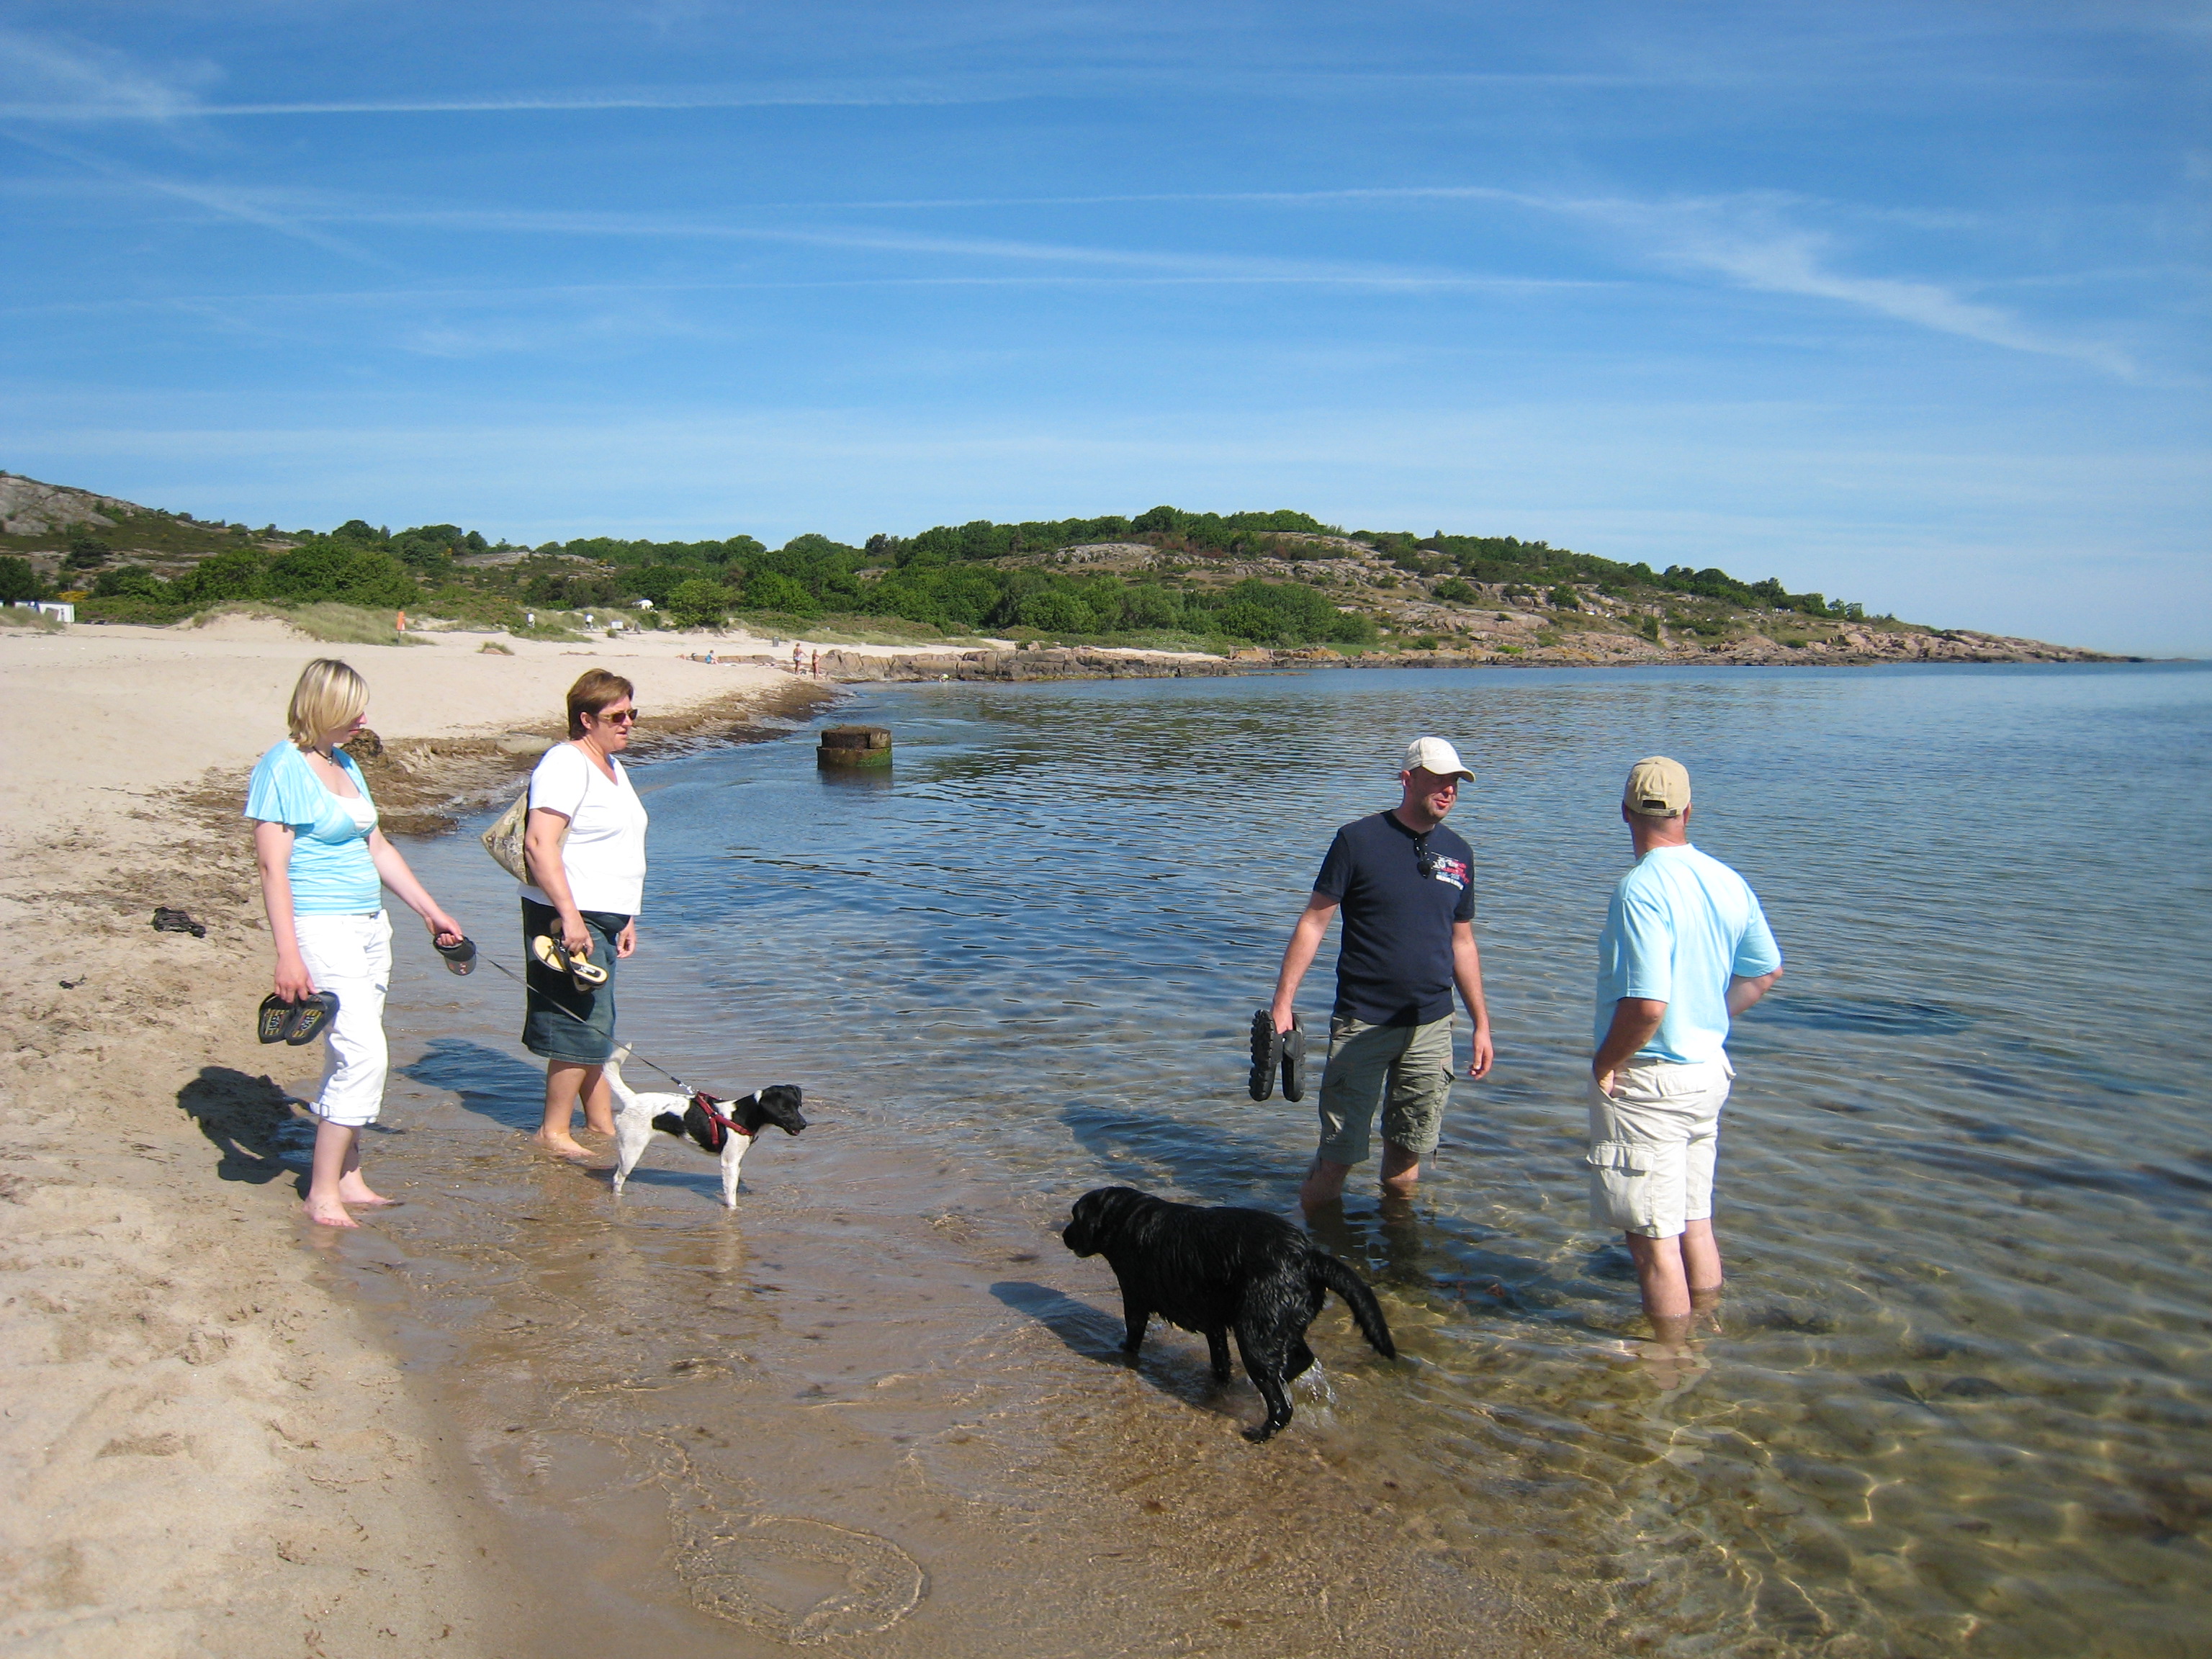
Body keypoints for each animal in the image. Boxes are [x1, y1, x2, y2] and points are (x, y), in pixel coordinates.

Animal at [606, 1053, 805, 1212]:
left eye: (797, 1106)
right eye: (784, 1110)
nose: (804, 1124)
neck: (742, 1115)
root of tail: (632, 1099)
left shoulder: (737, 1161)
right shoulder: (729, 1163)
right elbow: (730, 1195)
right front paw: (733, 1211)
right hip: (632, 1151)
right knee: (617, 1178)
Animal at [1057, 1185, 1398, 1442]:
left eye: (1076, 1216)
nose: (1063, 1235)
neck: (1126, 1218)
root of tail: (1308, 1255)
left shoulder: (1135, 1299)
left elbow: (1133, 1335)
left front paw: (1121, 1351)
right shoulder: (1214, 1323)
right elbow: (1219, 1359)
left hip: (1256, 1334)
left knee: (1280, 1404)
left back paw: (1261, 1432)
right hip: (1278, 1325)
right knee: (1300, 1360)